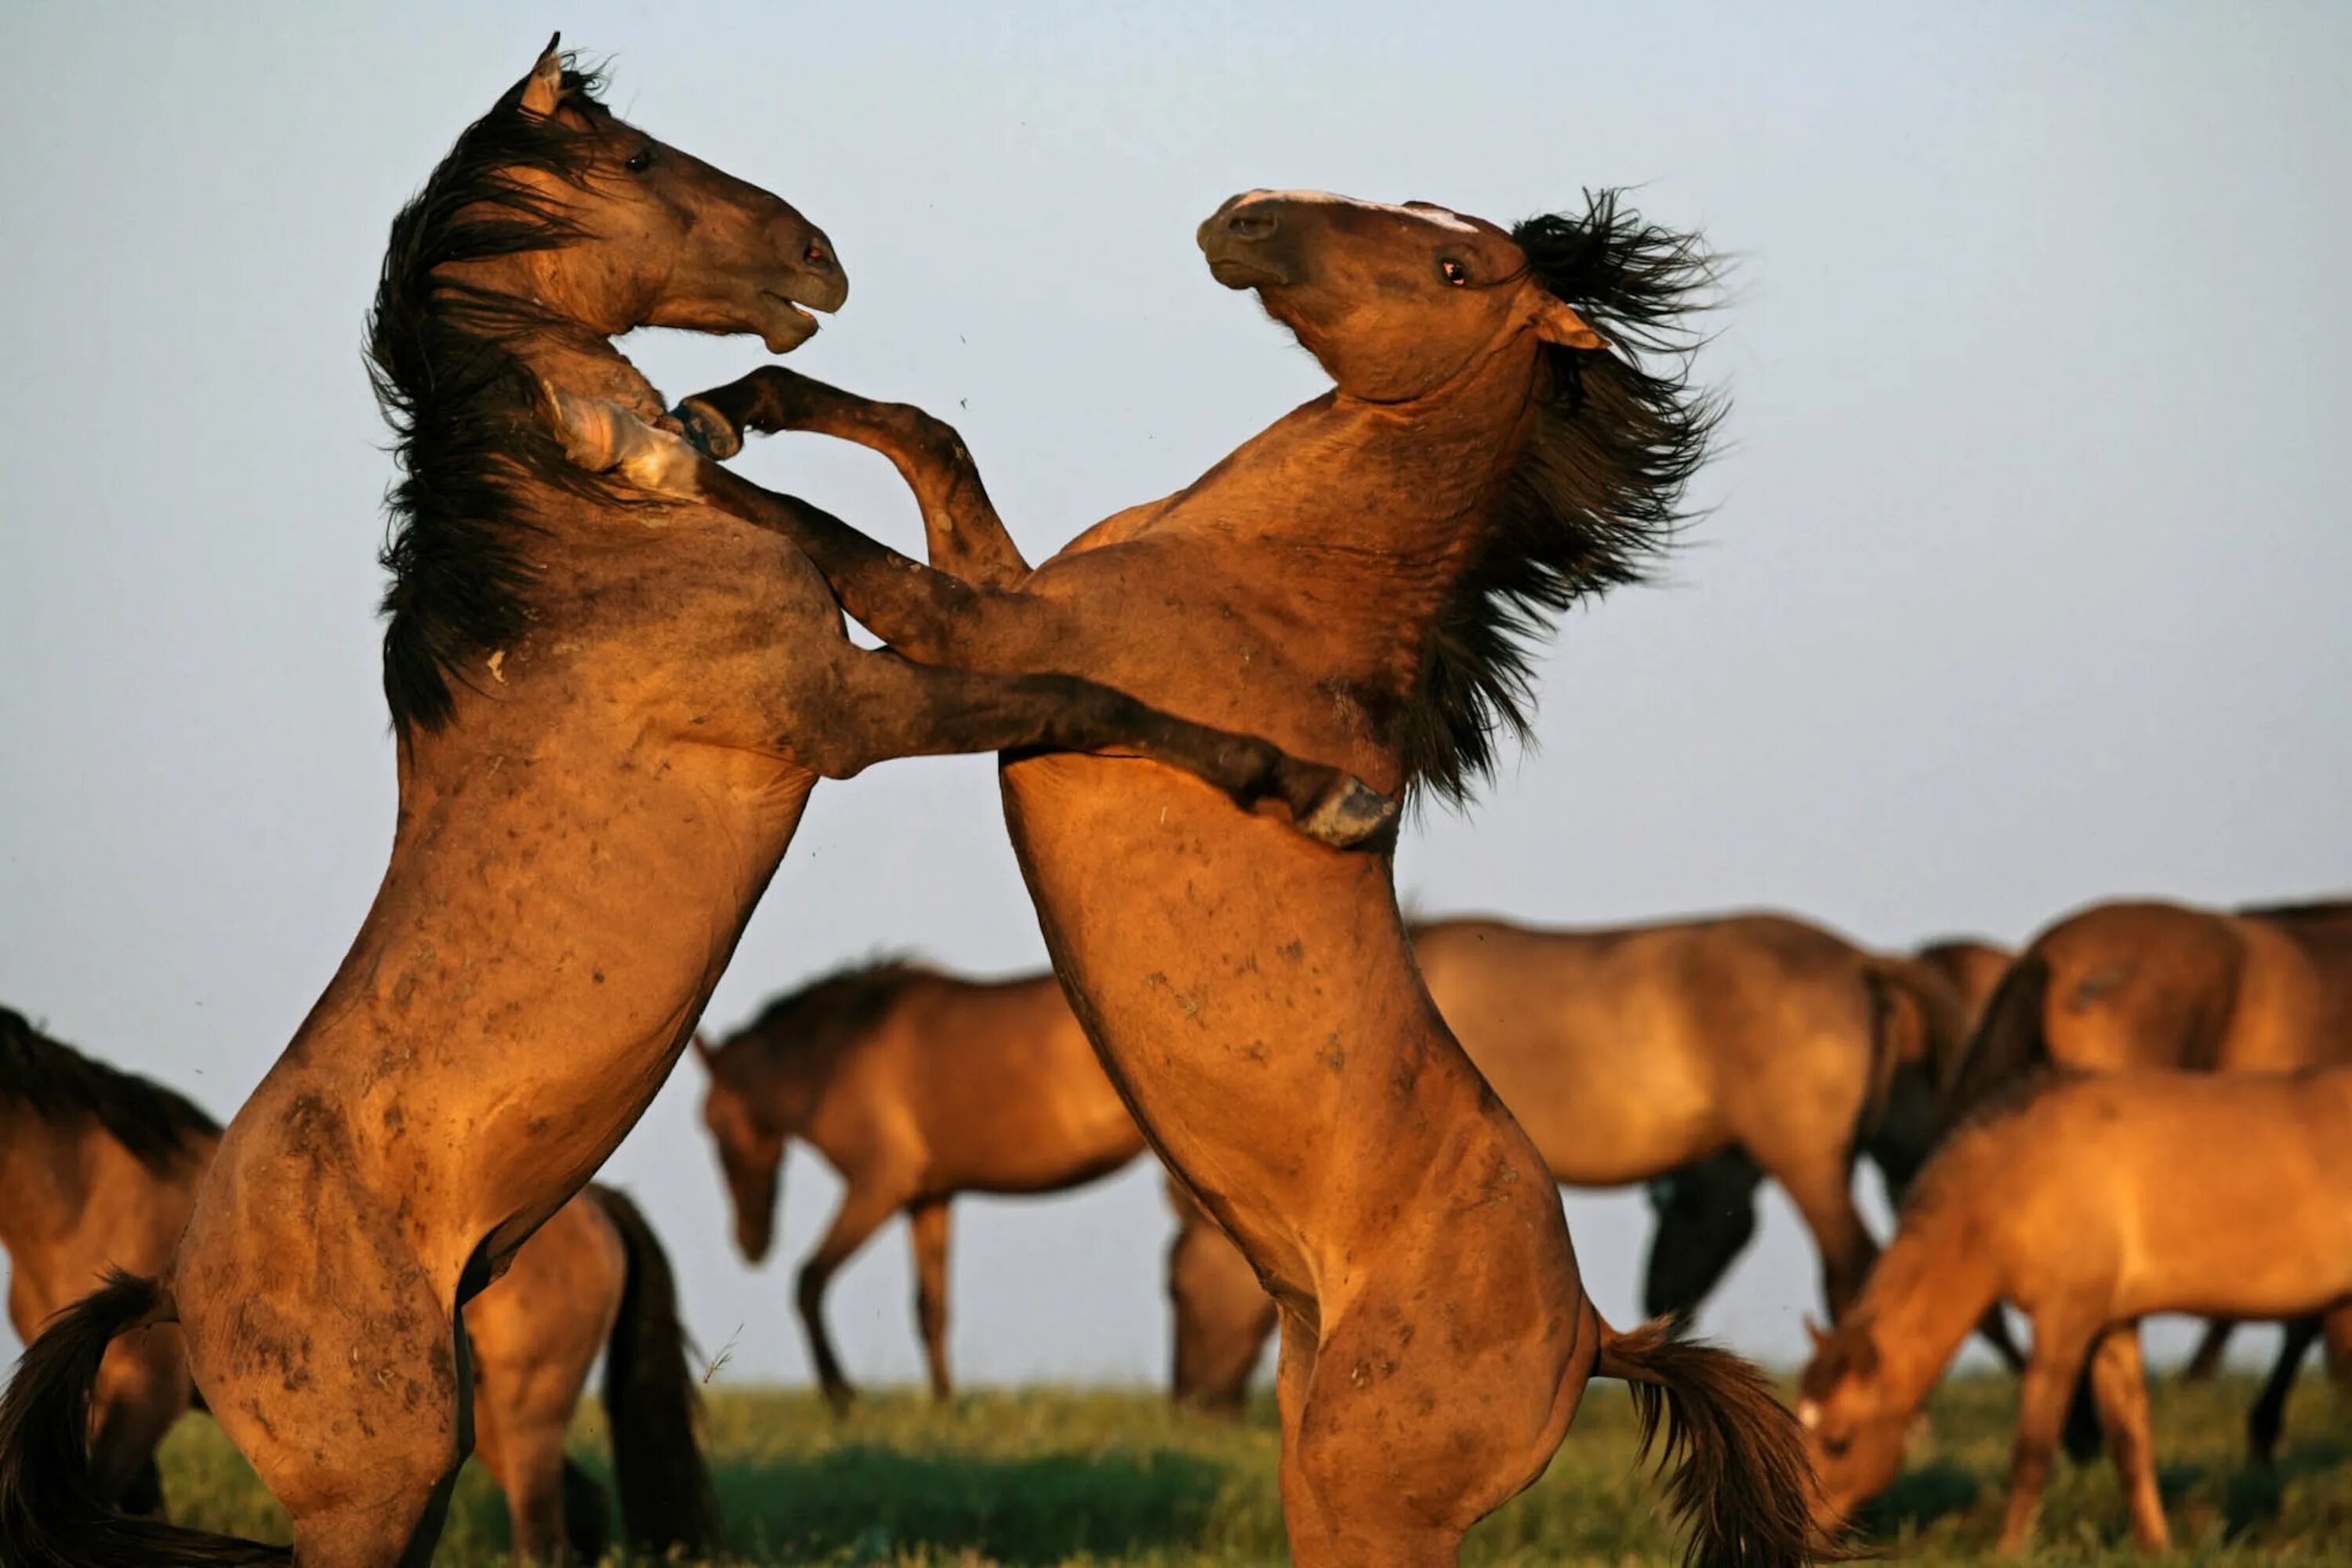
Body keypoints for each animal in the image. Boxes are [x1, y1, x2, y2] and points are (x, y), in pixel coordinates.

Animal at [2, 1006, 715, 1568]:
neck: (90, 1197)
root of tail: (601, 1206)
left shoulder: (145, 1394)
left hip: (529, 1404)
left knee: (543, 1530)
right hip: (478, 1414)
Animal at [687, 959, 1148, 1410]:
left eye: (714, 1125)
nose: (750, 1244)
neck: (845, 1047)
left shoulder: (879, 1185)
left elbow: (809, 1281)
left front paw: (841, 1394)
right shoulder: (929, 1198)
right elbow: (931, 1309)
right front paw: (945, 1406)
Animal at [1788, 1067, 2352, 1561]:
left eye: (1838, 1443)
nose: (1800, 1538)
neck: (2021, 1165)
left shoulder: (2065, 1319)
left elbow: (2034, 1448)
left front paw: (2008, 1551)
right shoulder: (2113, 1326)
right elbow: (2130, 1444)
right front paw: (2155, 1547)